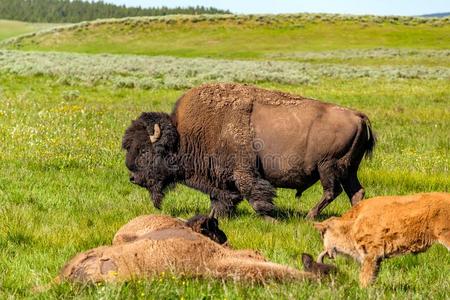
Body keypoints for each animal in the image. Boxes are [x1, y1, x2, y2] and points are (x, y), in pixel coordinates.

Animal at [123, 83, 376, 219]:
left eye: (145, 151)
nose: (133, 178)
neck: (183, 136)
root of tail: (358, 116)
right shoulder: (221, 179)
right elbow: (222, 198)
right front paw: (216, 217)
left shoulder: (243, 172)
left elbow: (254, 194)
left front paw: (270, 217)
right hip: (348, 170)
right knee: (355, 192)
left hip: (328, 167)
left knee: (331, 191)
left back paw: (309, 216)